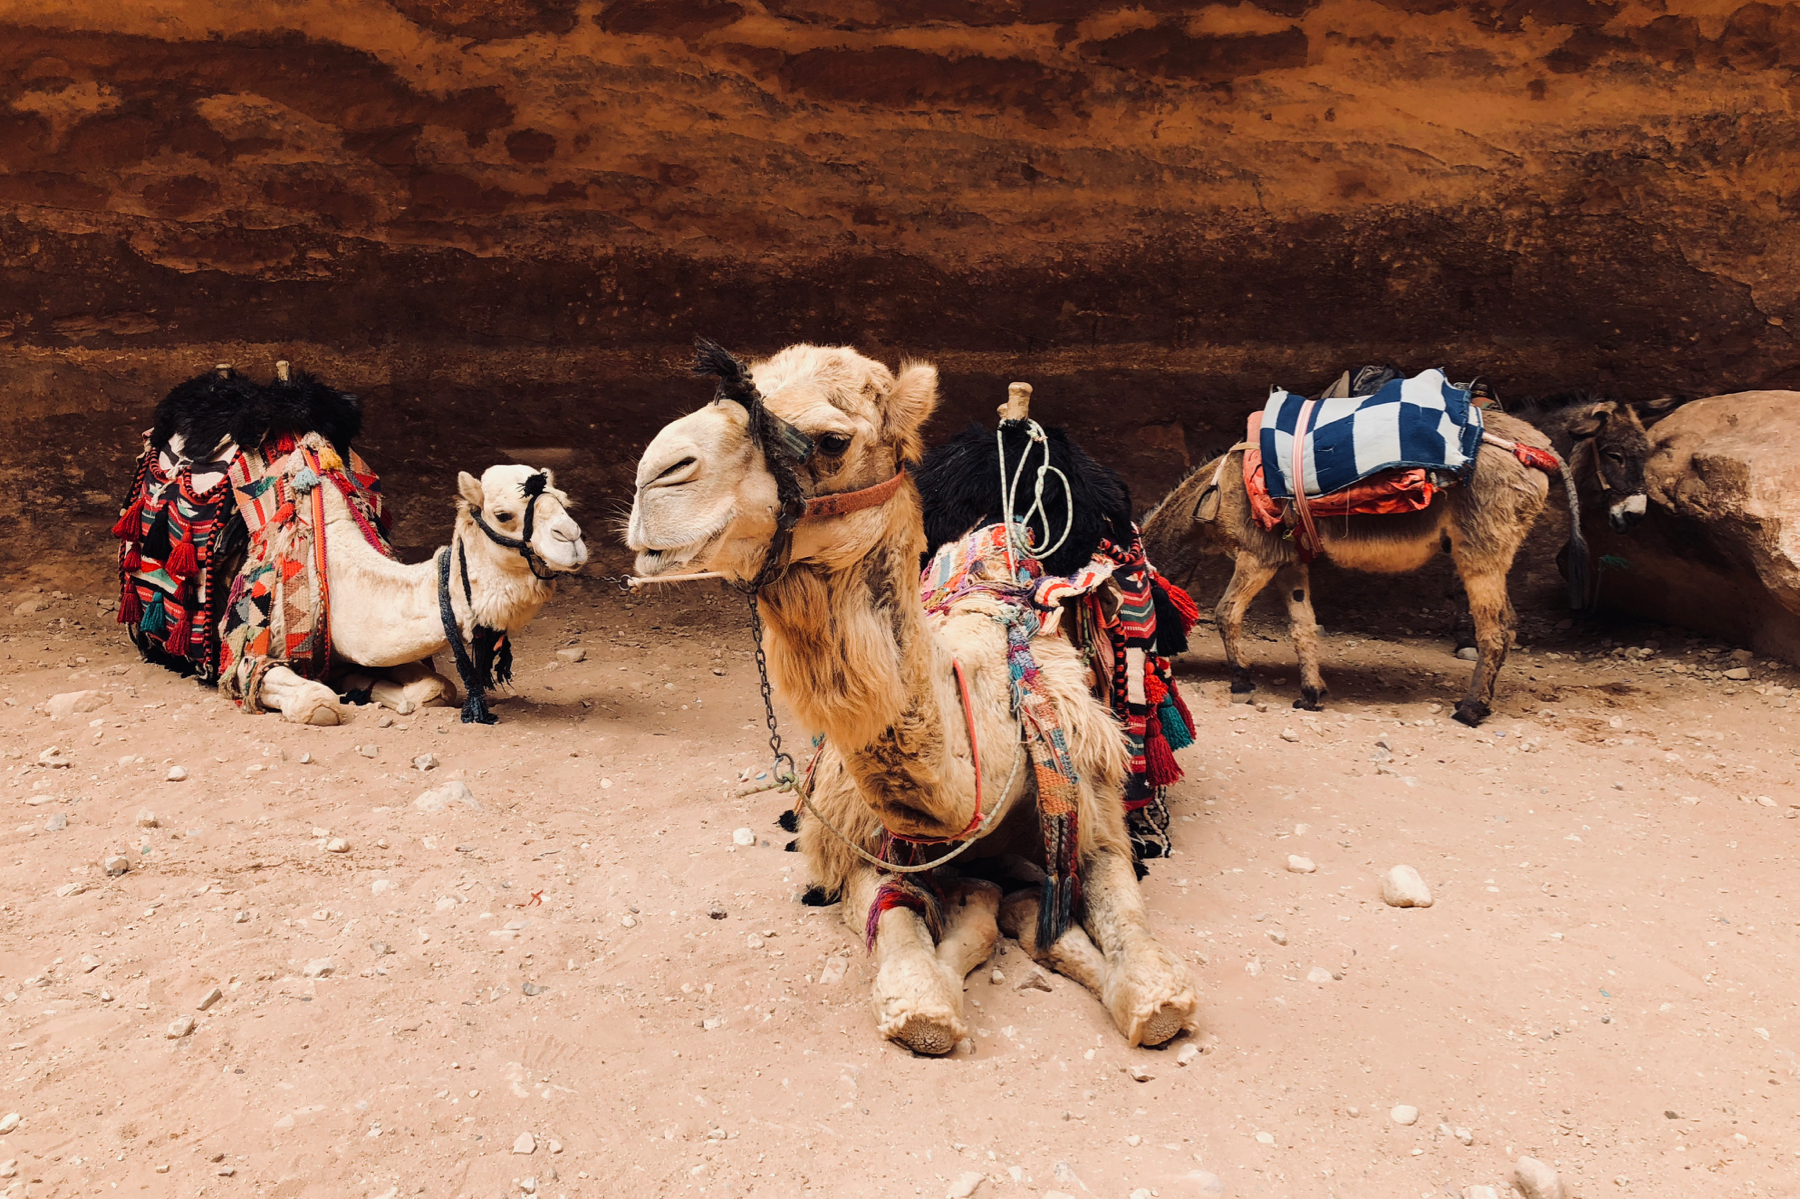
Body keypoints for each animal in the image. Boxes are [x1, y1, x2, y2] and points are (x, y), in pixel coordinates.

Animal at [626, 342, 1198, 1054]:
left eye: (832, 439)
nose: (654, 478)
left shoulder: (1090, 810)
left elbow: (1151, 981)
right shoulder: (865, 845)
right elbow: (915, 978)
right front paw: (970, 929)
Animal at [1141, 401, 1573, 727]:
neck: (1214, 490)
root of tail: (1539, 448)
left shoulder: (1257, 556)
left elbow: (1227, 613)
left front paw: (1242, 684)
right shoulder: (1290, 562)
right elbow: (1302, 626)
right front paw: (1310, 694)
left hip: (1479, 550)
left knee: (1495, 630)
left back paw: (1470, 710)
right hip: (1491, 553)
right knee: (1509, 625)